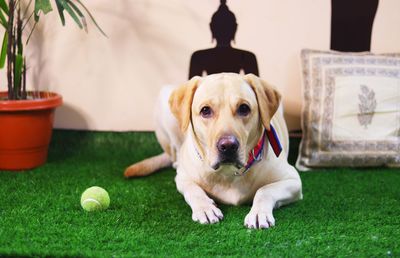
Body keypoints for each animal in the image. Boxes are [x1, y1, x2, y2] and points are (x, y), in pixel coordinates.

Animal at [124, 73, 300, 230]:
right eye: (205, 110)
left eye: (244, 108)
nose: (228, 146)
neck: (228, 173)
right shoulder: (182, 178)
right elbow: (193, 190)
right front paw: (205, 208)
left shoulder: (293, 180)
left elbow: (264, 190)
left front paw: (258, 213)